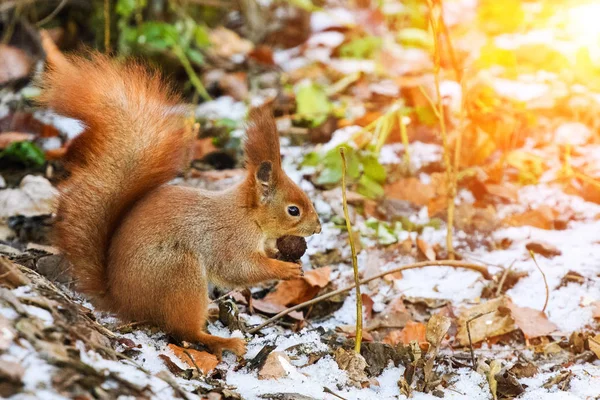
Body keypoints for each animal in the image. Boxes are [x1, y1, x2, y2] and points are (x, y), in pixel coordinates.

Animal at [39, 51, 322, 358]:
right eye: (293, 210)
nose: (318, 228)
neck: (249, 216)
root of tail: (123, 302)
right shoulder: (229, 241)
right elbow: (239, 269)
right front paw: (285, 270)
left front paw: (282, 254)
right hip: (180, 274)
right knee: (184, 330)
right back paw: (223, 341)